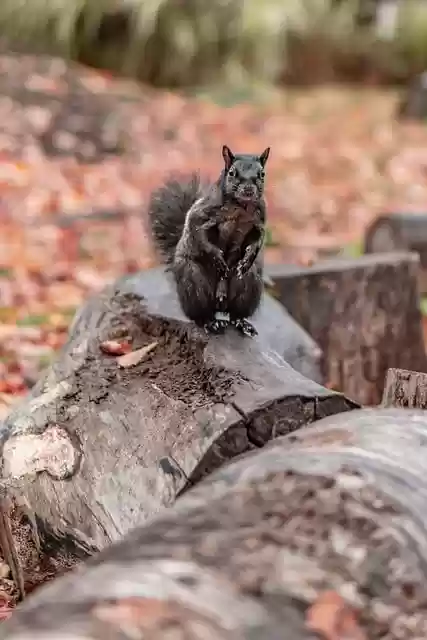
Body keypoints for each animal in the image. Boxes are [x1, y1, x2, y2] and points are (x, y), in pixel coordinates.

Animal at [147, 144, 270, 336]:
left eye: (262, 174)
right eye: (232, 173)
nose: (249, 190)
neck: (241, 207)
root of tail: (220, 303)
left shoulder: (260, 220)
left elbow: (259, 239)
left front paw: (248, 258)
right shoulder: (203, 212)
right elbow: (198, 231)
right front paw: (216, 258)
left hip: (249, 284)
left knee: (235, 314)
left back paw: (242, 323)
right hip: (194, 283)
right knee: (201, 314)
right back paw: (211, 323)